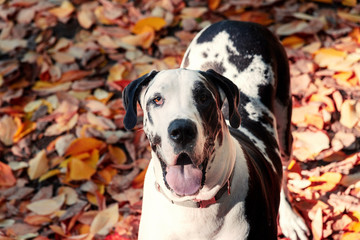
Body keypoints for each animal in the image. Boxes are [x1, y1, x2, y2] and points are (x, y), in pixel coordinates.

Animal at [122, 20, 308, 240]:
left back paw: (290, 218)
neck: (193, 208)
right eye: (157, 99)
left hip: (284, 124)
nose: (182, 131)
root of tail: (235, 22)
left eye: (204, 97)